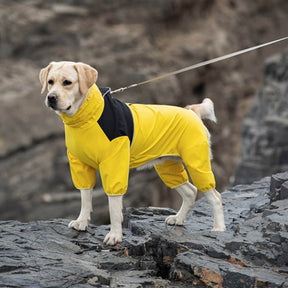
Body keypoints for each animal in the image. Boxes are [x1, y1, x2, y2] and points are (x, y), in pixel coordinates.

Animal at [39, 60, 226, 245]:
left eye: (67, 82)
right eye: (50, 82)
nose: (51, 97)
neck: (86, 119)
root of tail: (191, 111)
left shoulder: (114, 165)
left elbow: (114, 206)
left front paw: (115, 235)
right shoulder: (80, 165)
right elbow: (85, 198)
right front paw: (82, 222)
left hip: (196, 164)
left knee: (215, 197)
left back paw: (219, 228)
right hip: (168, 167)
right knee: (190, 191)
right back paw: (178, 219)